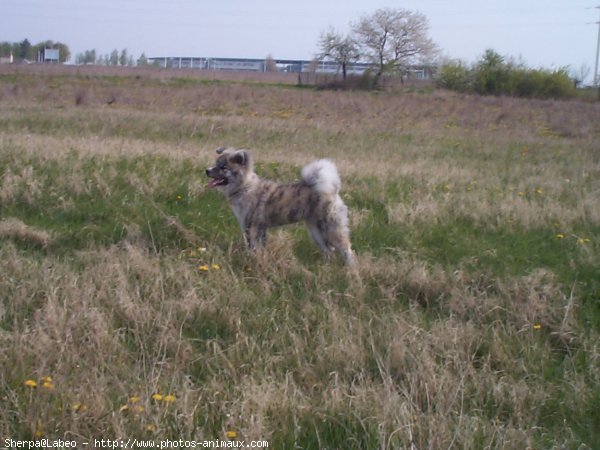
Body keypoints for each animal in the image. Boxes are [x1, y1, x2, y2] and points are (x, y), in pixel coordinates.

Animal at [207, 148, 354, 264]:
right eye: (215, 164)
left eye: (223, 168)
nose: (206, 170)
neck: (245, 186)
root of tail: (332, 191)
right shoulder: (260, 228)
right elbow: (260, 247)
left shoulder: (250, 227)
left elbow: (251, 247)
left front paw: (250, 260)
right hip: (315, 231)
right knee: (328, 250)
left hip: (332, 229)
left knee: (347, 250)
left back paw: (350, 271)